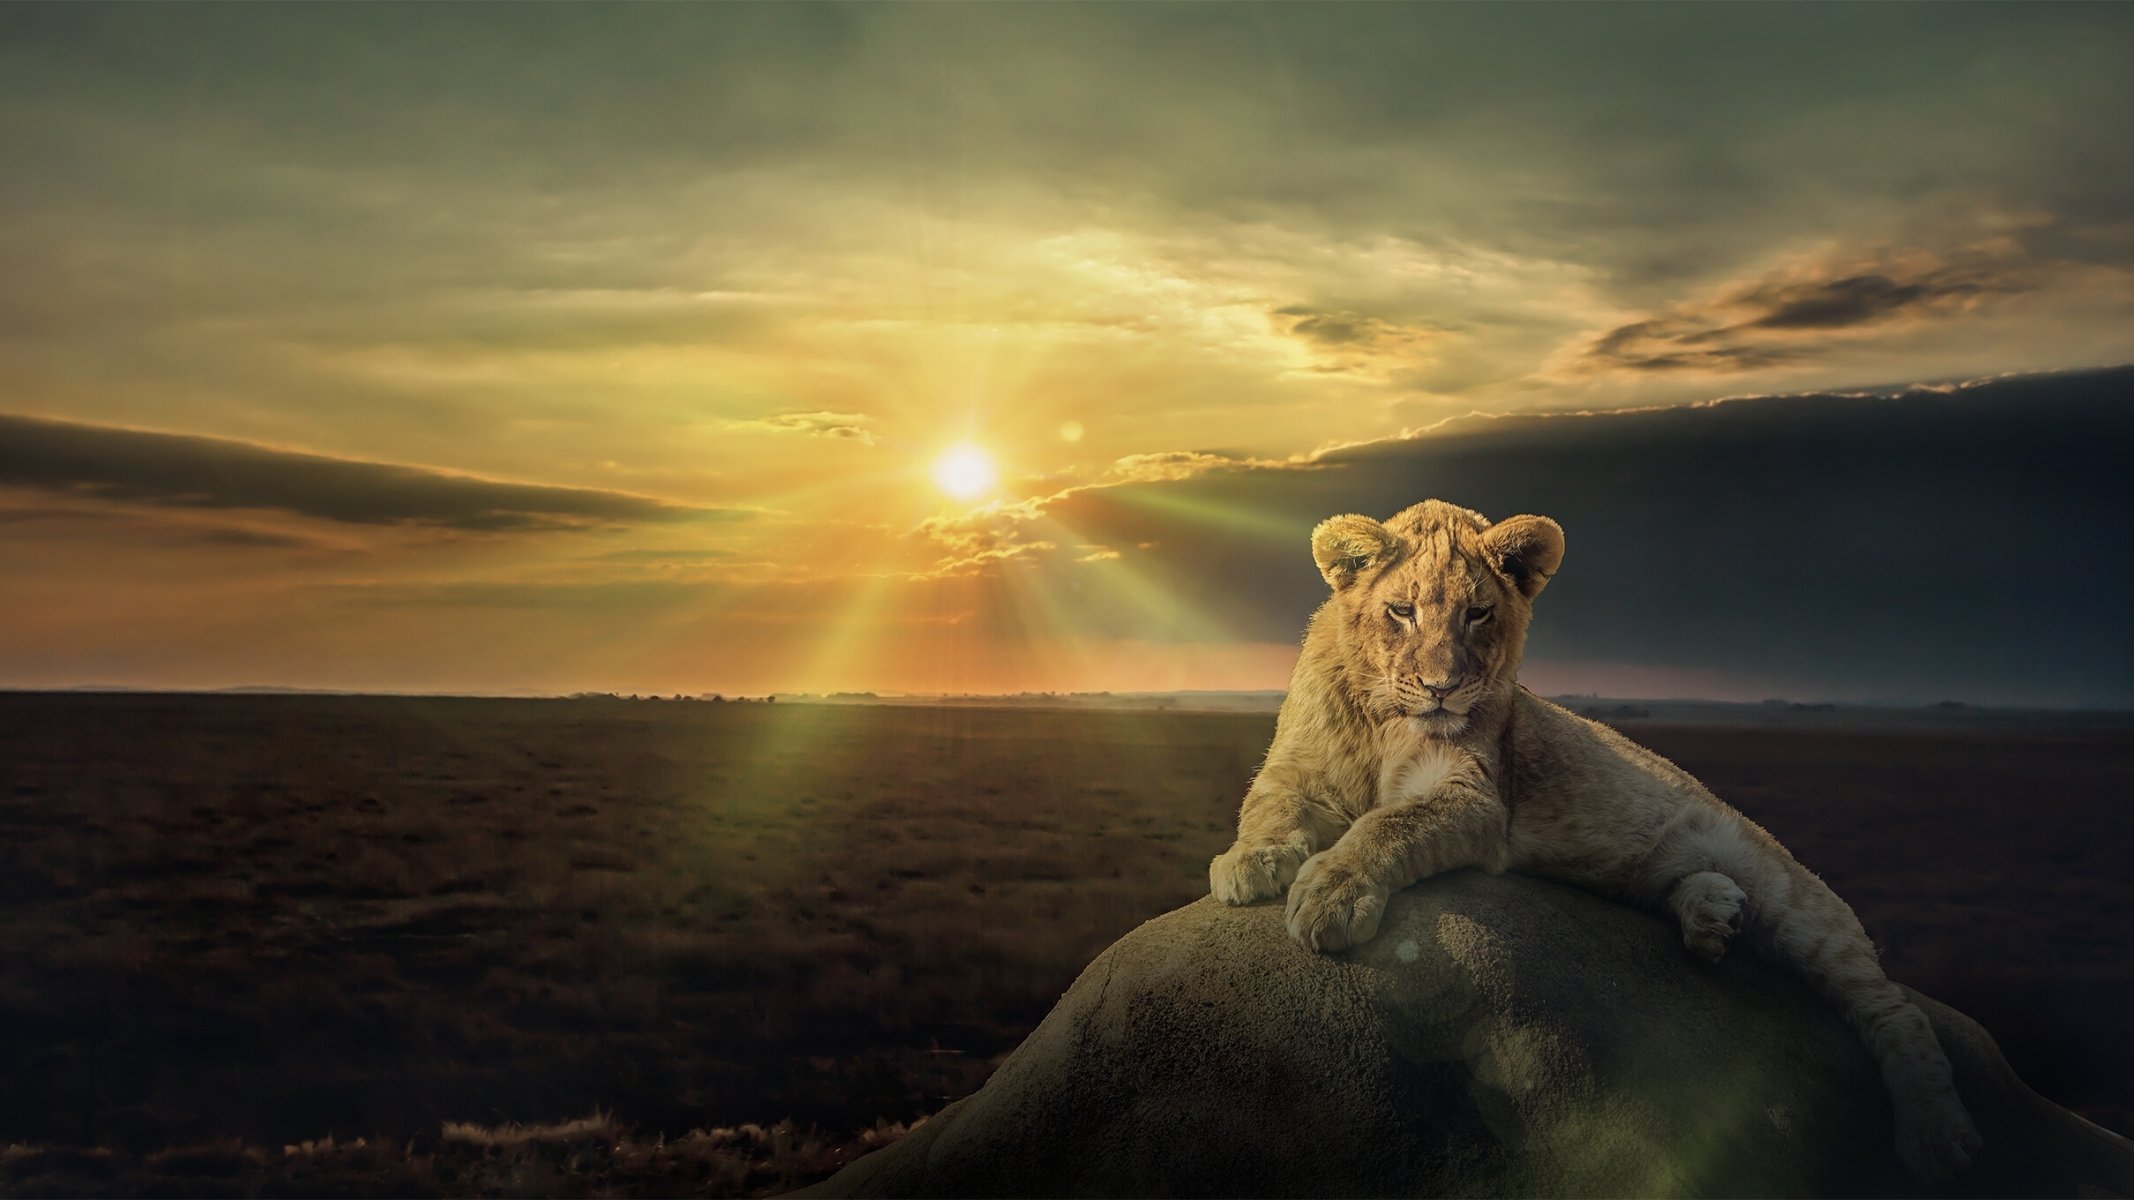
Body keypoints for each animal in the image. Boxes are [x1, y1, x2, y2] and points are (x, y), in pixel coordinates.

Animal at [1208, 499, 1980, 1181]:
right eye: (1401, 611)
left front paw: (1330, 893)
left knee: (1895, 1011)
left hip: (1798, 900)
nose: (1441, 687)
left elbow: (1386, 823)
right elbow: (1266, 808)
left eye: (1477, 614)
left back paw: (1939, 1137)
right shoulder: (1294, 767)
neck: (1380, 717)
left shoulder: (1477, 796)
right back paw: (1712, 916)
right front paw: (1249, 863)